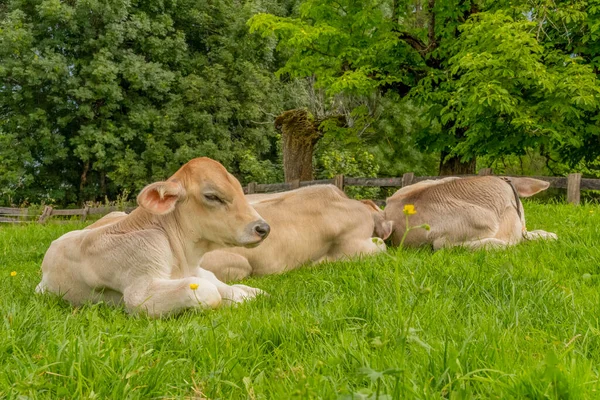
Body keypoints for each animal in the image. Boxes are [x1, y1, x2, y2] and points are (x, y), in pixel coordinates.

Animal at [37, 158, 270, 318]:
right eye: (211, 196)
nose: (263, 228)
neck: (183, 259)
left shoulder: (197, 272)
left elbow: (238, 292)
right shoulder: (139, 293)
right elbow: (209, 292)